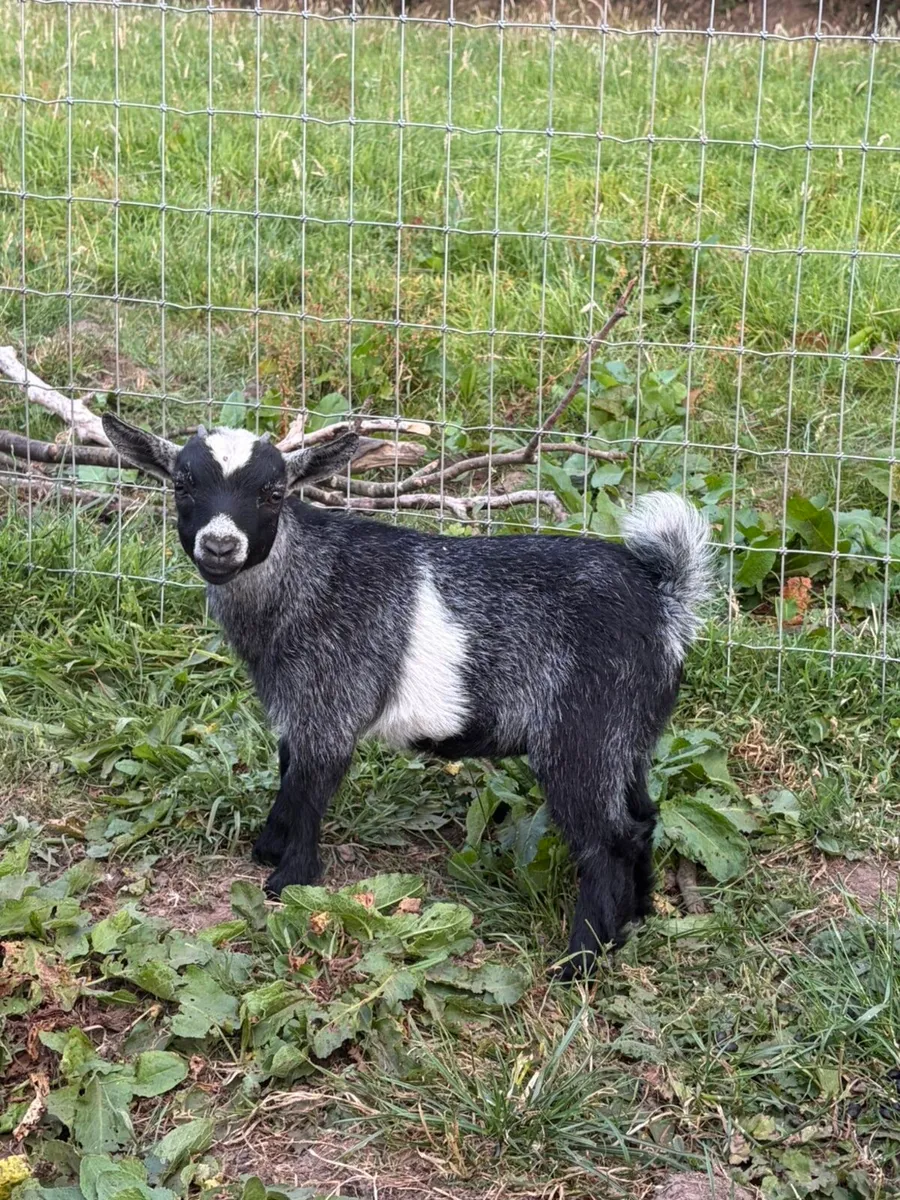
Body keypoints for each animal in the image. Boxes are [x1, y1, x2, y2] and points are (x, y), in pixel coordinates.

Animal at [102, 413, 714, 976]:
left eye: (273, 493)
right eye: (183, 486)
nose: (221, 545)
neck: (304, 581)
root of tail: (665, 602)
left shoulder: (331, 708)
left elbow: (309, 789)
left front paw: (289, 881)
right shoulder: (298, 710)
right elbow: (288, 771)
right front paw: (267, 847)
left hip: (581, 734)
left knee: (607, 839)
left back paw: (579, 959)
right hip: (627, 735)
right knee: (641, 819)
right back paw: (635, 917)